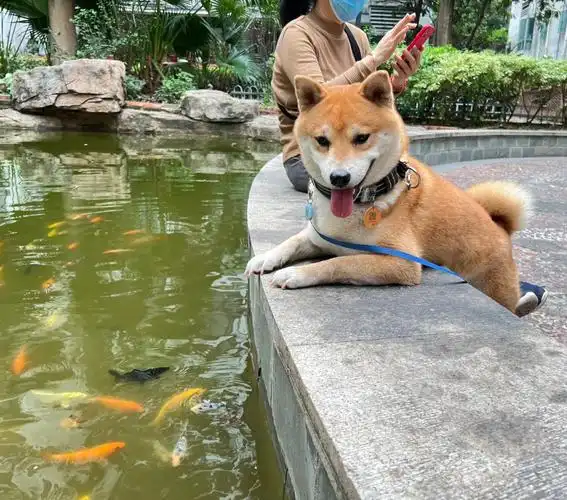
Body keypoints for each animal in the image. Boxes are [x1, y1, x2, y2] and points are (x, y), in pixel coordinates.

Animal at [246, 70, 536, 316]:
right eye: (322, 141)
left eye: (361, 138)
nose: (339, 178)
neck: (363, 203)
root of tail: (501, 227)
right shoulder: (318, 236)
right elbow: (290, 242)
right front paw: (263, 258)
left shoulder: (401, 263)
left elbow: (337, 263)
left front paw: (296, 274)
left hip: (494, 284)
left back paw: (528, 301)